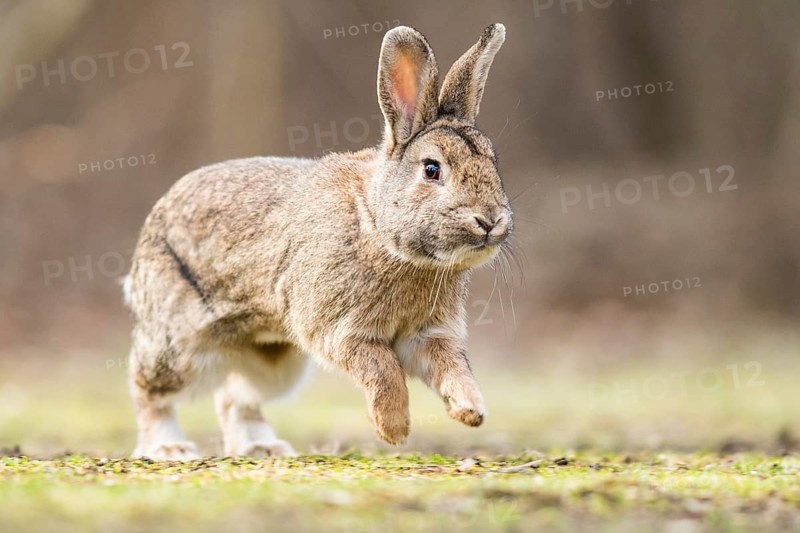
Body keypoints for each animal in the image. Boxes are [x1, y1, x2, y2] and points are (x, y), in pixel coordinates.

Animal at [125, 23, 511, 460]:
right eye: (432, 170)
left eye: (493, 162)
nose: (491, 220)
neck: (377, 228)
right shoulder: (338, 329)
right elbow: (382, 369)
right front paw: (393, 428)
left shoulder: (428, 335)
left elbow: (453, 366)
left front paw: (470, 411)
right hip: (179, 343)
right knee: (149, 390)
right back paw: (169, 448)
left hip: (273, 363)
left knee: (233, 396)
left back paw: (263, 448)